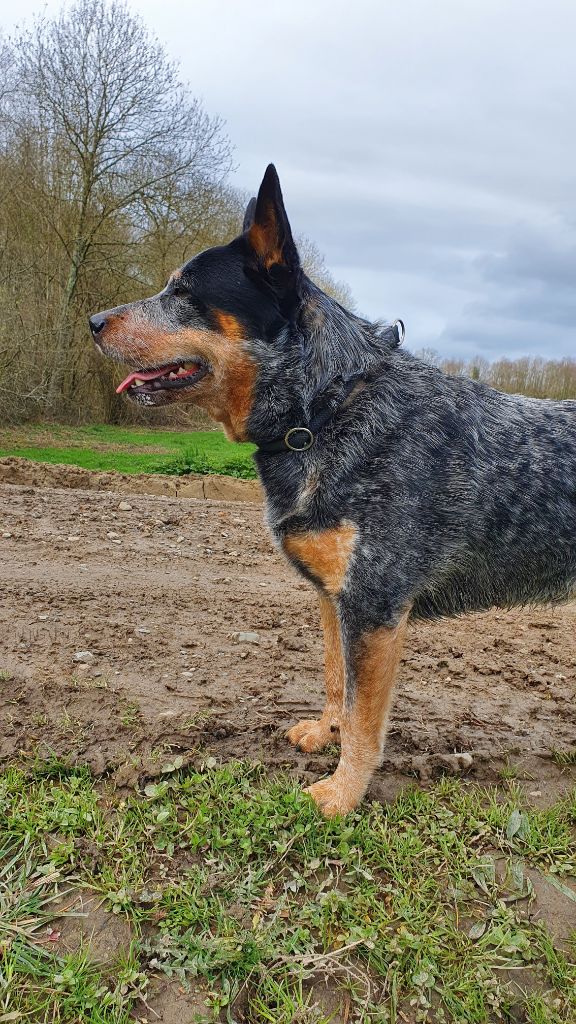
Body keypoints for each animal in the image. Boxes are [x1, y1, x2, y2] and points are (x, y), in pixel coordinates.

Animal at [89, 163, 573, 815]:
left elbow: (365, 721)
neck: (323, 411)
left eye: (185, 293)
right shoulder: (331, 596)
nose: (92, 322)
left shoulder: (375, 604)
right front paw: (324, 734)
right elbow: (333, 681)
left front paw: (341, 795)